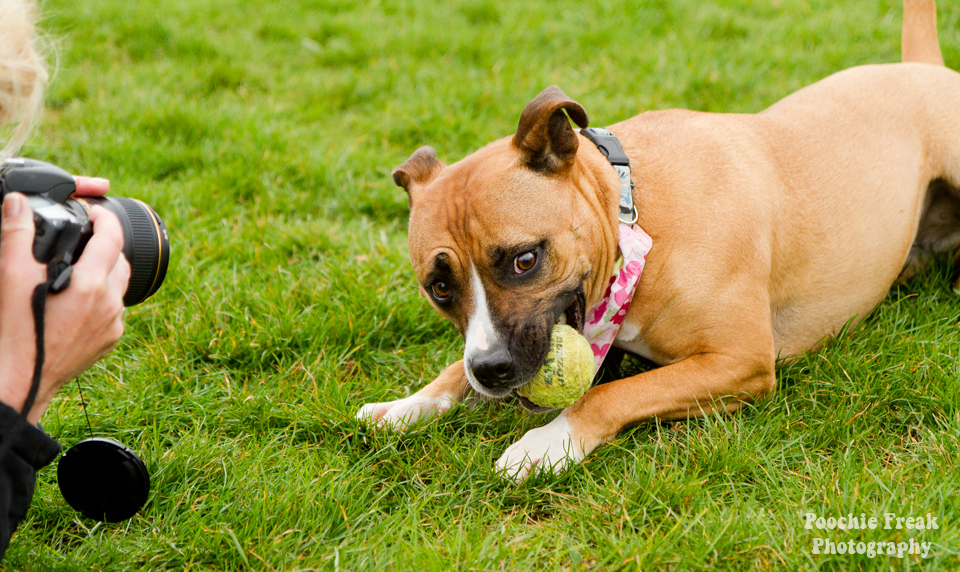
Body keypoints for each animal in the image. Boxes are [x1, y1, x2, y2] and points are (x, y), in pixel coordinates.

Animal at [358, 0, 960, 480]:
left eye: (525, 260)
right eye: (439, 288)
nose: (491, 370)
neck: (634, 218)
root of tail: (922, 67)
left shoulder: (738, 361)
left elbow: (610, 392)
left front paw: (548, 442)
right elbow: (453, 370)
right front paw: (408, 404)